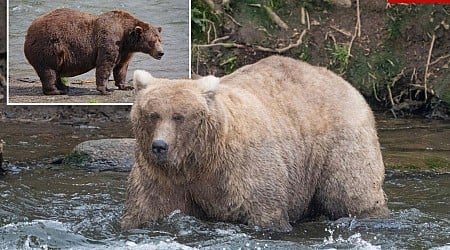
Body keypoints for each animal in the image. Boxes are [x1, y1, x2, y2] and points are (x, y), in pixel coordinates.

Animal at [22, 8, 163, 95]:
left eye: (159, 39)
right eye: (152, 41)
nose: (161, 53)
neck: (126, 36)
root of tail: (29, 30)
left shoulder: (125, 50)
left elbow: (121, 67)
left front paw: (126, 86)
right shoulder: (109, 40)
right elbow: (105, 64)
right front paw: (105, 90)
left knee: (56, 71)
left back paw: (64, 87)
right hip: (48, 46)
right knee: (49, 70)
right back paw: (56, 91)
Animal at [121, 55, 388, 231]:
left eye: (179, 116)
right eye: (152, 114)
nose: (160, 146)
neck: (199, 160)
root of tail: (346, 83)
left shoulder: (242, 168)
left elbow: (264, 210)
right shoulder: (162, 177)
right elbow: (147, 209)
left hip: (339, 144)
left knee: (351, 192)